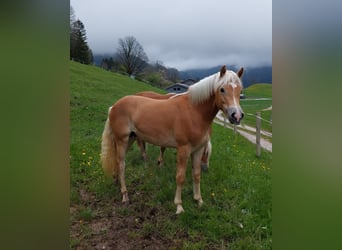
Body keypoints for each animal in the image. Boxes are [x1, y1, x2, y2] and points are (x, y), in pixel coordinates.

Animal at [100, 65, 244, 214]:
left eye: (240, 91)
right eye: (222, 89)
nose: (237, 116)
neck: (194, 111)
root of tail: (114, 106)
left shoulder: (197, 150)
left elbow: (196, 175)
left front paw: (199, 200)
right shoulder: (184, 149)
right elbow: (180, 177)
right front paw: (179, 206)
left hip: (130, 139)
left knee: (117, 160)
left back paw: (116, 180)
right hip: (122, 140)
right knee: (122, 164)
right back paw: (124, 194)